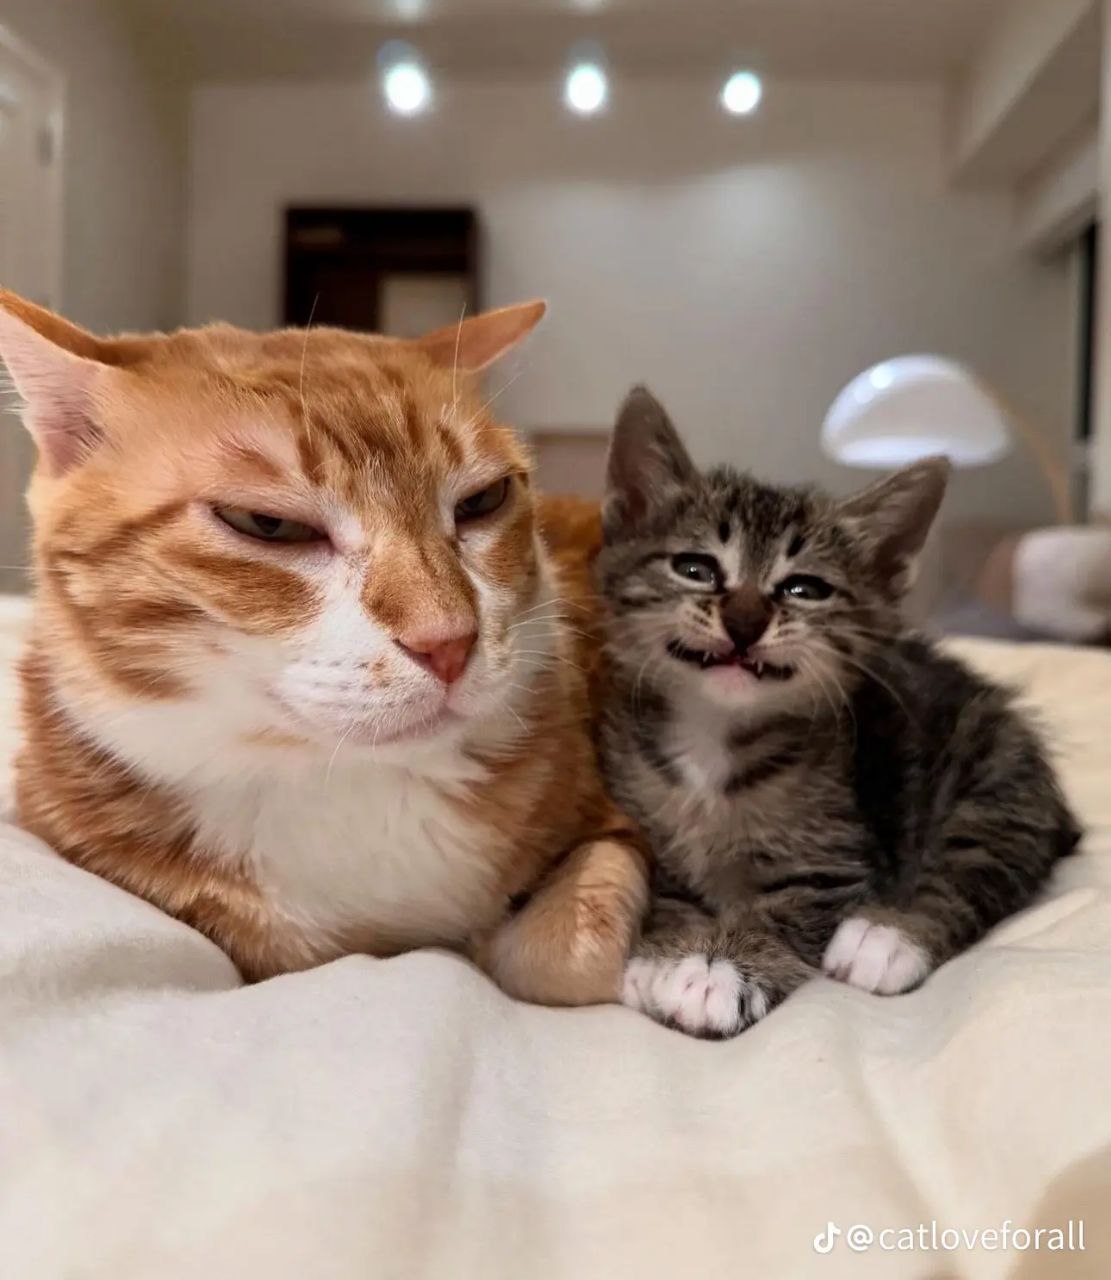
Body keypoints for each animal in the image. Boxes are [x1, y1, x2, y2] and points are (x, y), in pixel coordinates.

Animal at [0, 290, 647, 1002]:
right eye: (268, 525)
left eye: (483, 500)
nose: (448, 642)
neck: (342, 783)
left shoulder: (617, 823)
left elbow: (566, 956)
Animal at [597, 386, 1080, 1038]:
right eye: (694, 568)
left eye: (804, 589)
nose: (745, 622)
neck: (715, 739)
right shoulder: (645, 827)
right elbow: (669, 897)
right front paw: (663, 953)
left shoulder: (834, 858)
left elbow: (786, 910)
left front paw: (718, 970)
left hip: (999, 775)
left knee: (977, 863)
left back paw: (886, 936)